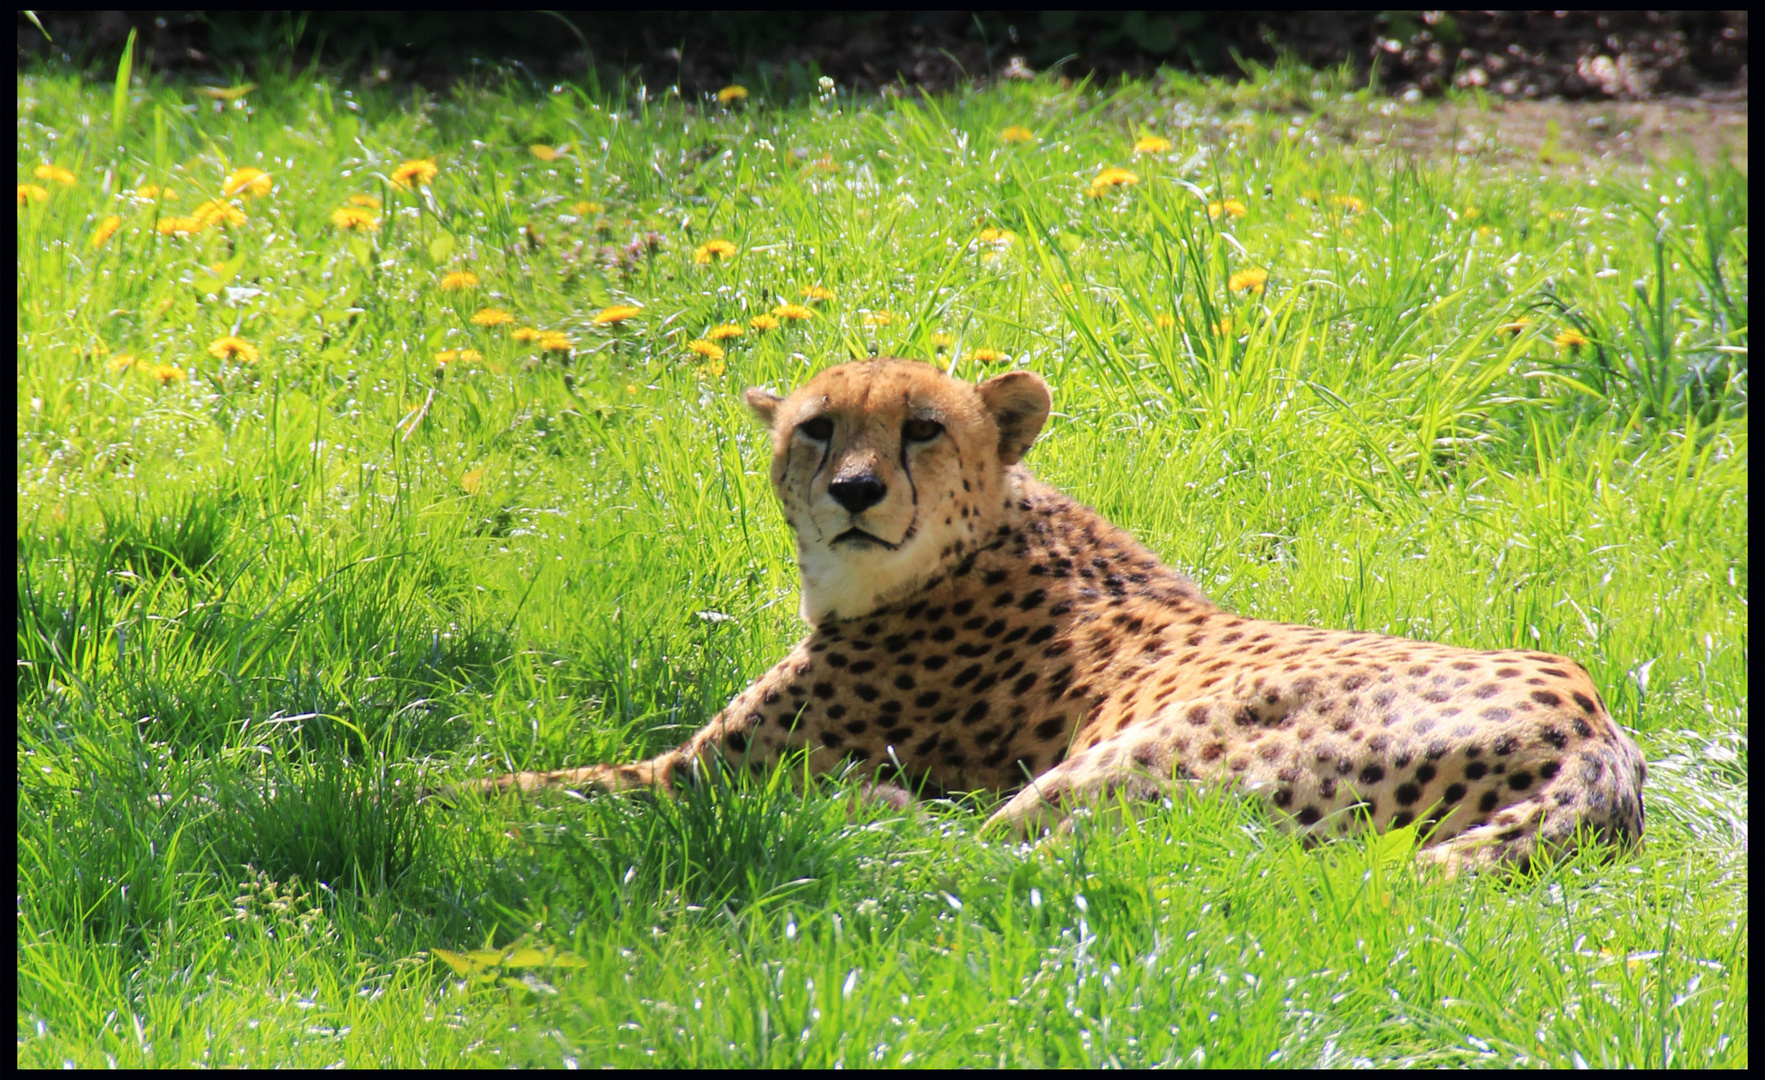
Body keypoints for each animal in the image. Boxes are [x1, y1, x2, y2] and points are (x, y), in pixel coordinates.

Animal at [476, 358, 1644, 871]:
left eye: (920, 428)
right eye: (816, 428)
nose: (853, 491)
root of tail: (1593, 733)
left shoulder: (692, 775)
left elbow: (514, 788)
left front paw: (437, 805)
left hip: (1103, 778)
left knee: (975, 864)